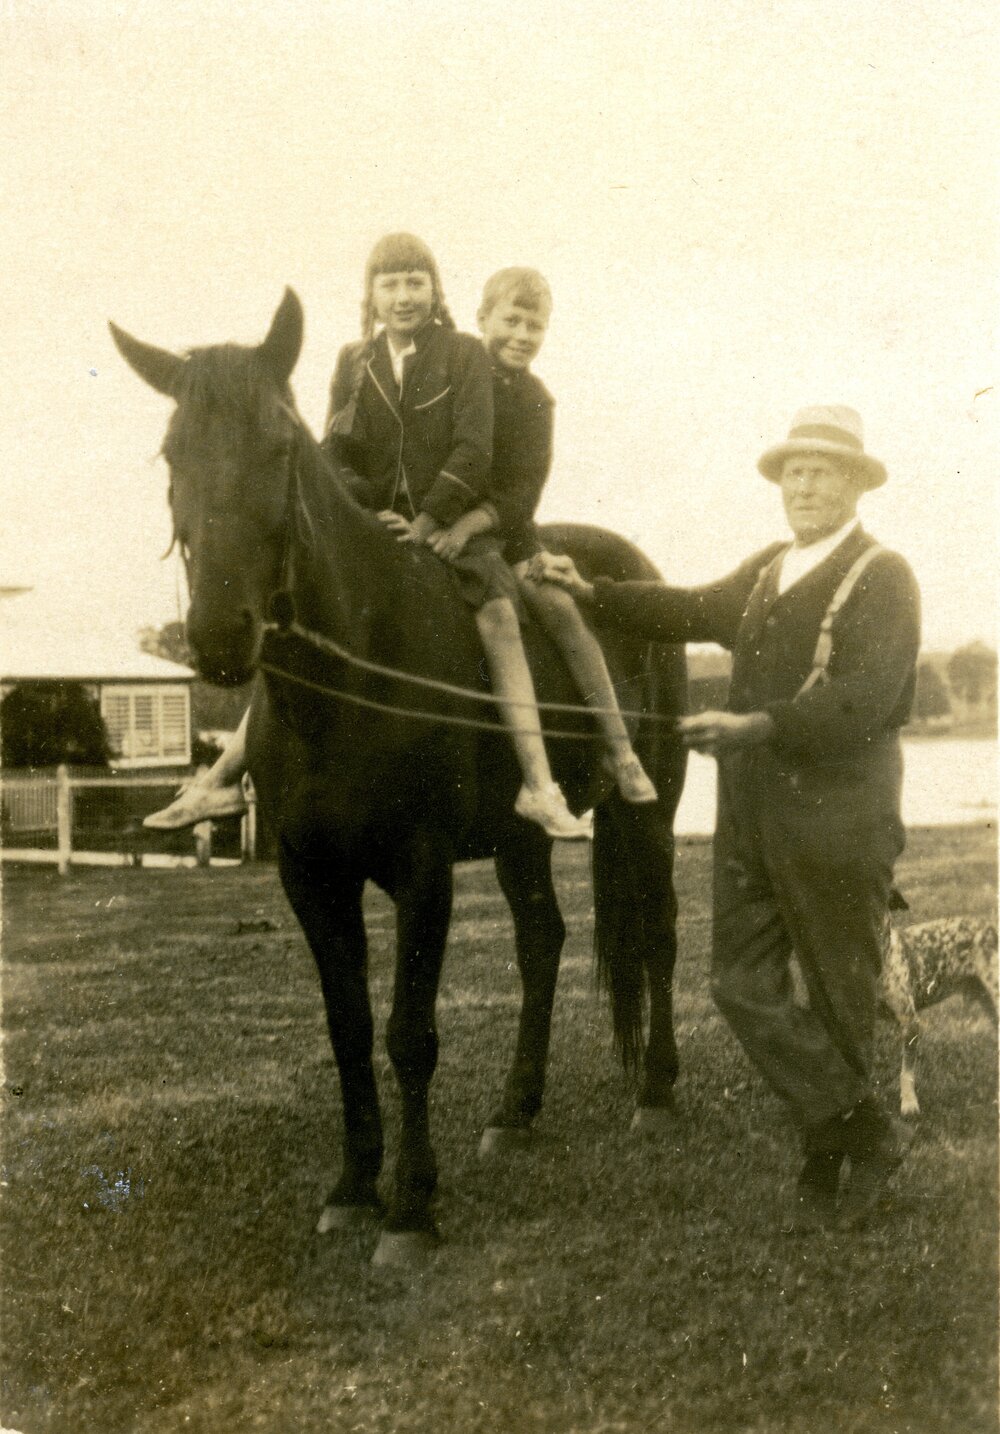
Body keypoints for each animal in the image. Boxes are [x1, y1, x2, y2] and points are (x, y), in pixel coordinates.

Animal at [109, 289, 688, 1267]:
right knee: (543, 941)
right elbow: (347, 1030)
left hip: (652, 812)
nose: (221, 635)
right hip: (521, 839)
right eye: (171, 452)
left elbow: (409, 1034)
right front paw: (352, 1190)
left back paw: (654, 1093)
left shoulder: (422, 873)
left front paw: (411, 1209)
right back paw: (515, 1114)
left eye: (280, 446)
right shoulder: (311, 876)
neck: (354, 674)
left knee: (658, 934)